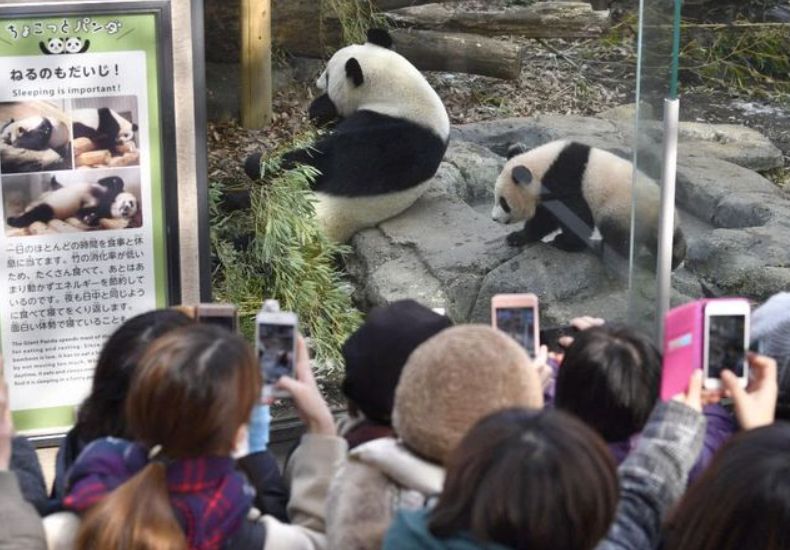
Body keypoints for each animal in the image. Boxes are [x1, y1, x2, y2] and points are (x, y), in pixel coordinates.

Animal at [6, 177, 138, 229]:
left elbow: (84, 213)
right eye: (130, 203)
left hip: (50, 210)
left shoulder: (100, 207)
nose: (125, 208)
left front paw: (90, 218)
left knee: (38, 212)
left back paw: (13, 220)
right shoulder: (104, 192)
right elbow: (114, 183)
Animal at [244, 28, 448, 244]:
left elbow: (321, 159)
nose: (317, 83)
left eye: (327, 75)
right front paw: (319, 110)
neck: (398, 95)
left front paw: (258, 162)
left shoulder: (390, 137)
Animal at [492, 140, 688, 272]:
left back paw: (605, 249)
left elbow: (573, 216)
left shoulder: (564, 181)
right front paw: (517, 237)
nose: (494, 218)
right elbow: (544, 219)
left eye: (503, 202)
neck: (541, 168)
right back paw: (673, 258)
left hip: (623, 208)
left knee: (619, 235)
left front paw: (563, 242)